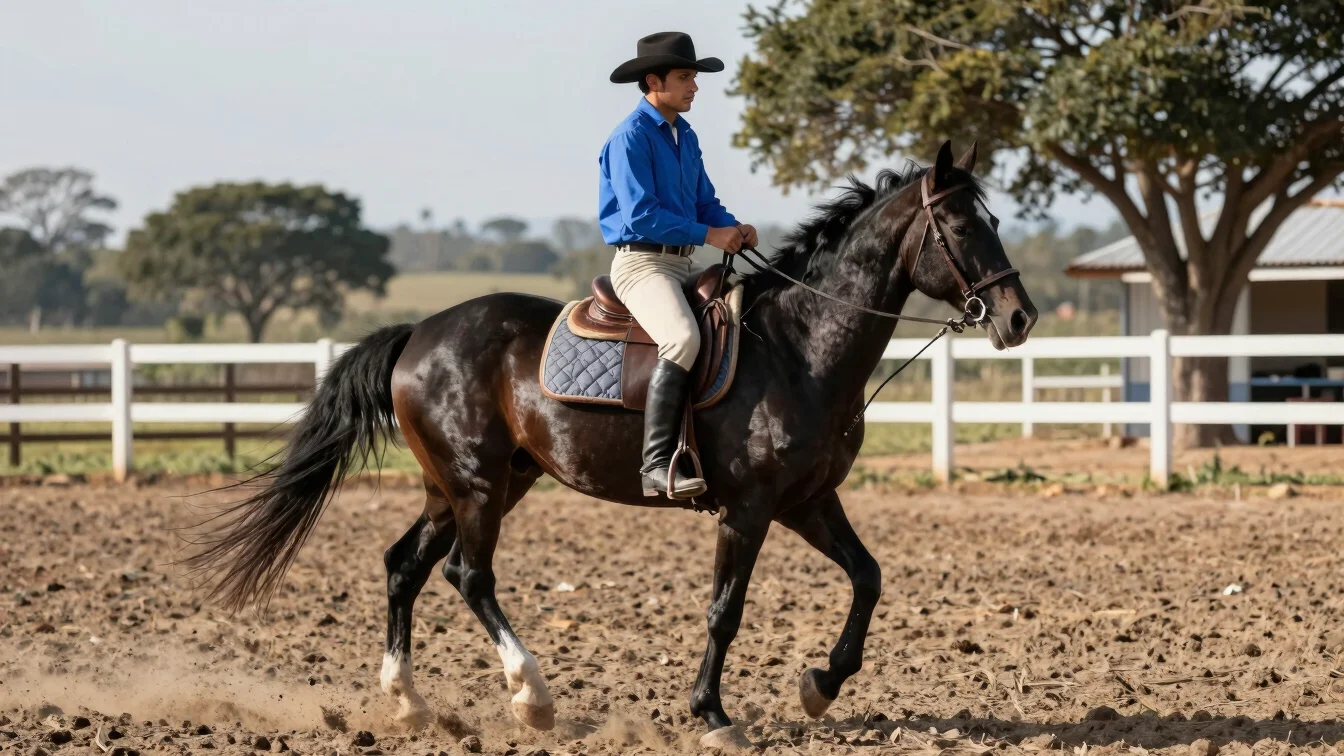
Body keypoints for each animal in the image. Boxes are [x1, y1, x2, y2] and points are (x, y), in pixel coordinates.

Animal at [184, 140, 1038, 749]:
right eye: (962, 227)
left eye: (992, 222)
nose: (1019, 317)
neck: (800, 345)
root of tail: (420, 332)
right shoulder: (750, 509)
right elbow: (725, 610)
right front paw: (714, 716)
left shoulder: (807, 501)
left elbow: (868, 577)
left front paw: (820, 685)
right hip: (479, 486)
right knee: (468, 574)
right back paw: (531, 697)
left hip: (468, 485)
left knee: (404, 568)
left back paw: (411, 706)